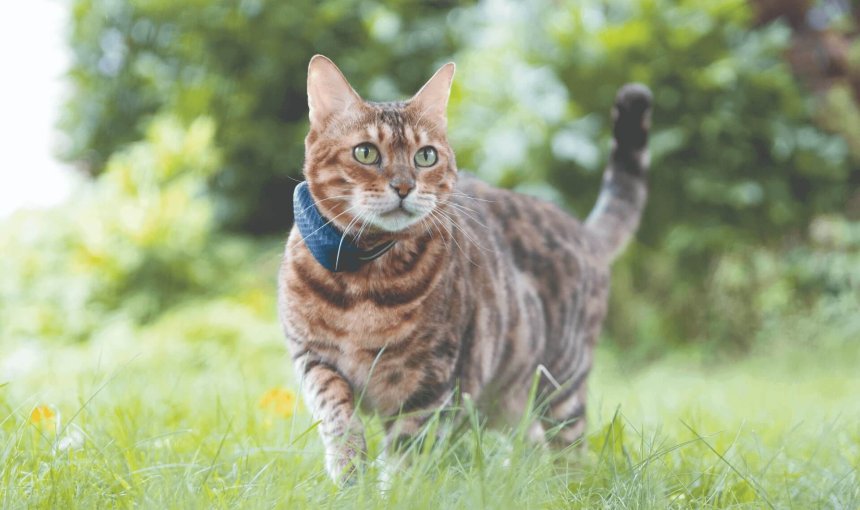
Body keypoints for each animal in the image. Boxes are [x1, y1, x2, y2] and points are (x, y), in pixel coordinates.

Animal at [278, 54, 652, 482]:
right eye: (366, 153)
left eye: (426, 156)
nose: (404, 187)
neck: (363, 280)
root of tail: (583, 231)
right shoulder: (313, 357)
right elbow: (336, 410)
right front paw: (349, 469)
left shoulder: (432, 380)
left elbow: (407, 451)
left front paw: (395, 488)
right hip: (506, 398)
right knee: (532, 442)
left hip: (561, 384)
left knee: (567, 450)